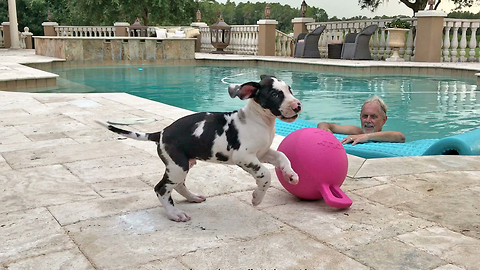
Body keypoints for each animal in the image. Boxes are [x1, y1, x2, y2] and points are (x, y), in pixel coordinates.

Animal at [98, 75, 302, 221]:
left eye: (289, 90)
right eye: (275, 95)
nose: (297, 106)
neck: (260, 121)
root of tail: (161, 133)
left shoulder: (263, 152)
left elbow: (282, 156)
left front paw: (291, 174)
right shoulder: (245, 158)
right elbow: (265, 175)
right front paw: (257, 197)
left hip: (181, 165)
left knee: (178, 185)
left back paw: (192, 197)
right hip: (177, 166)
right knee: (161, 189)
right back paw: (174, 214)